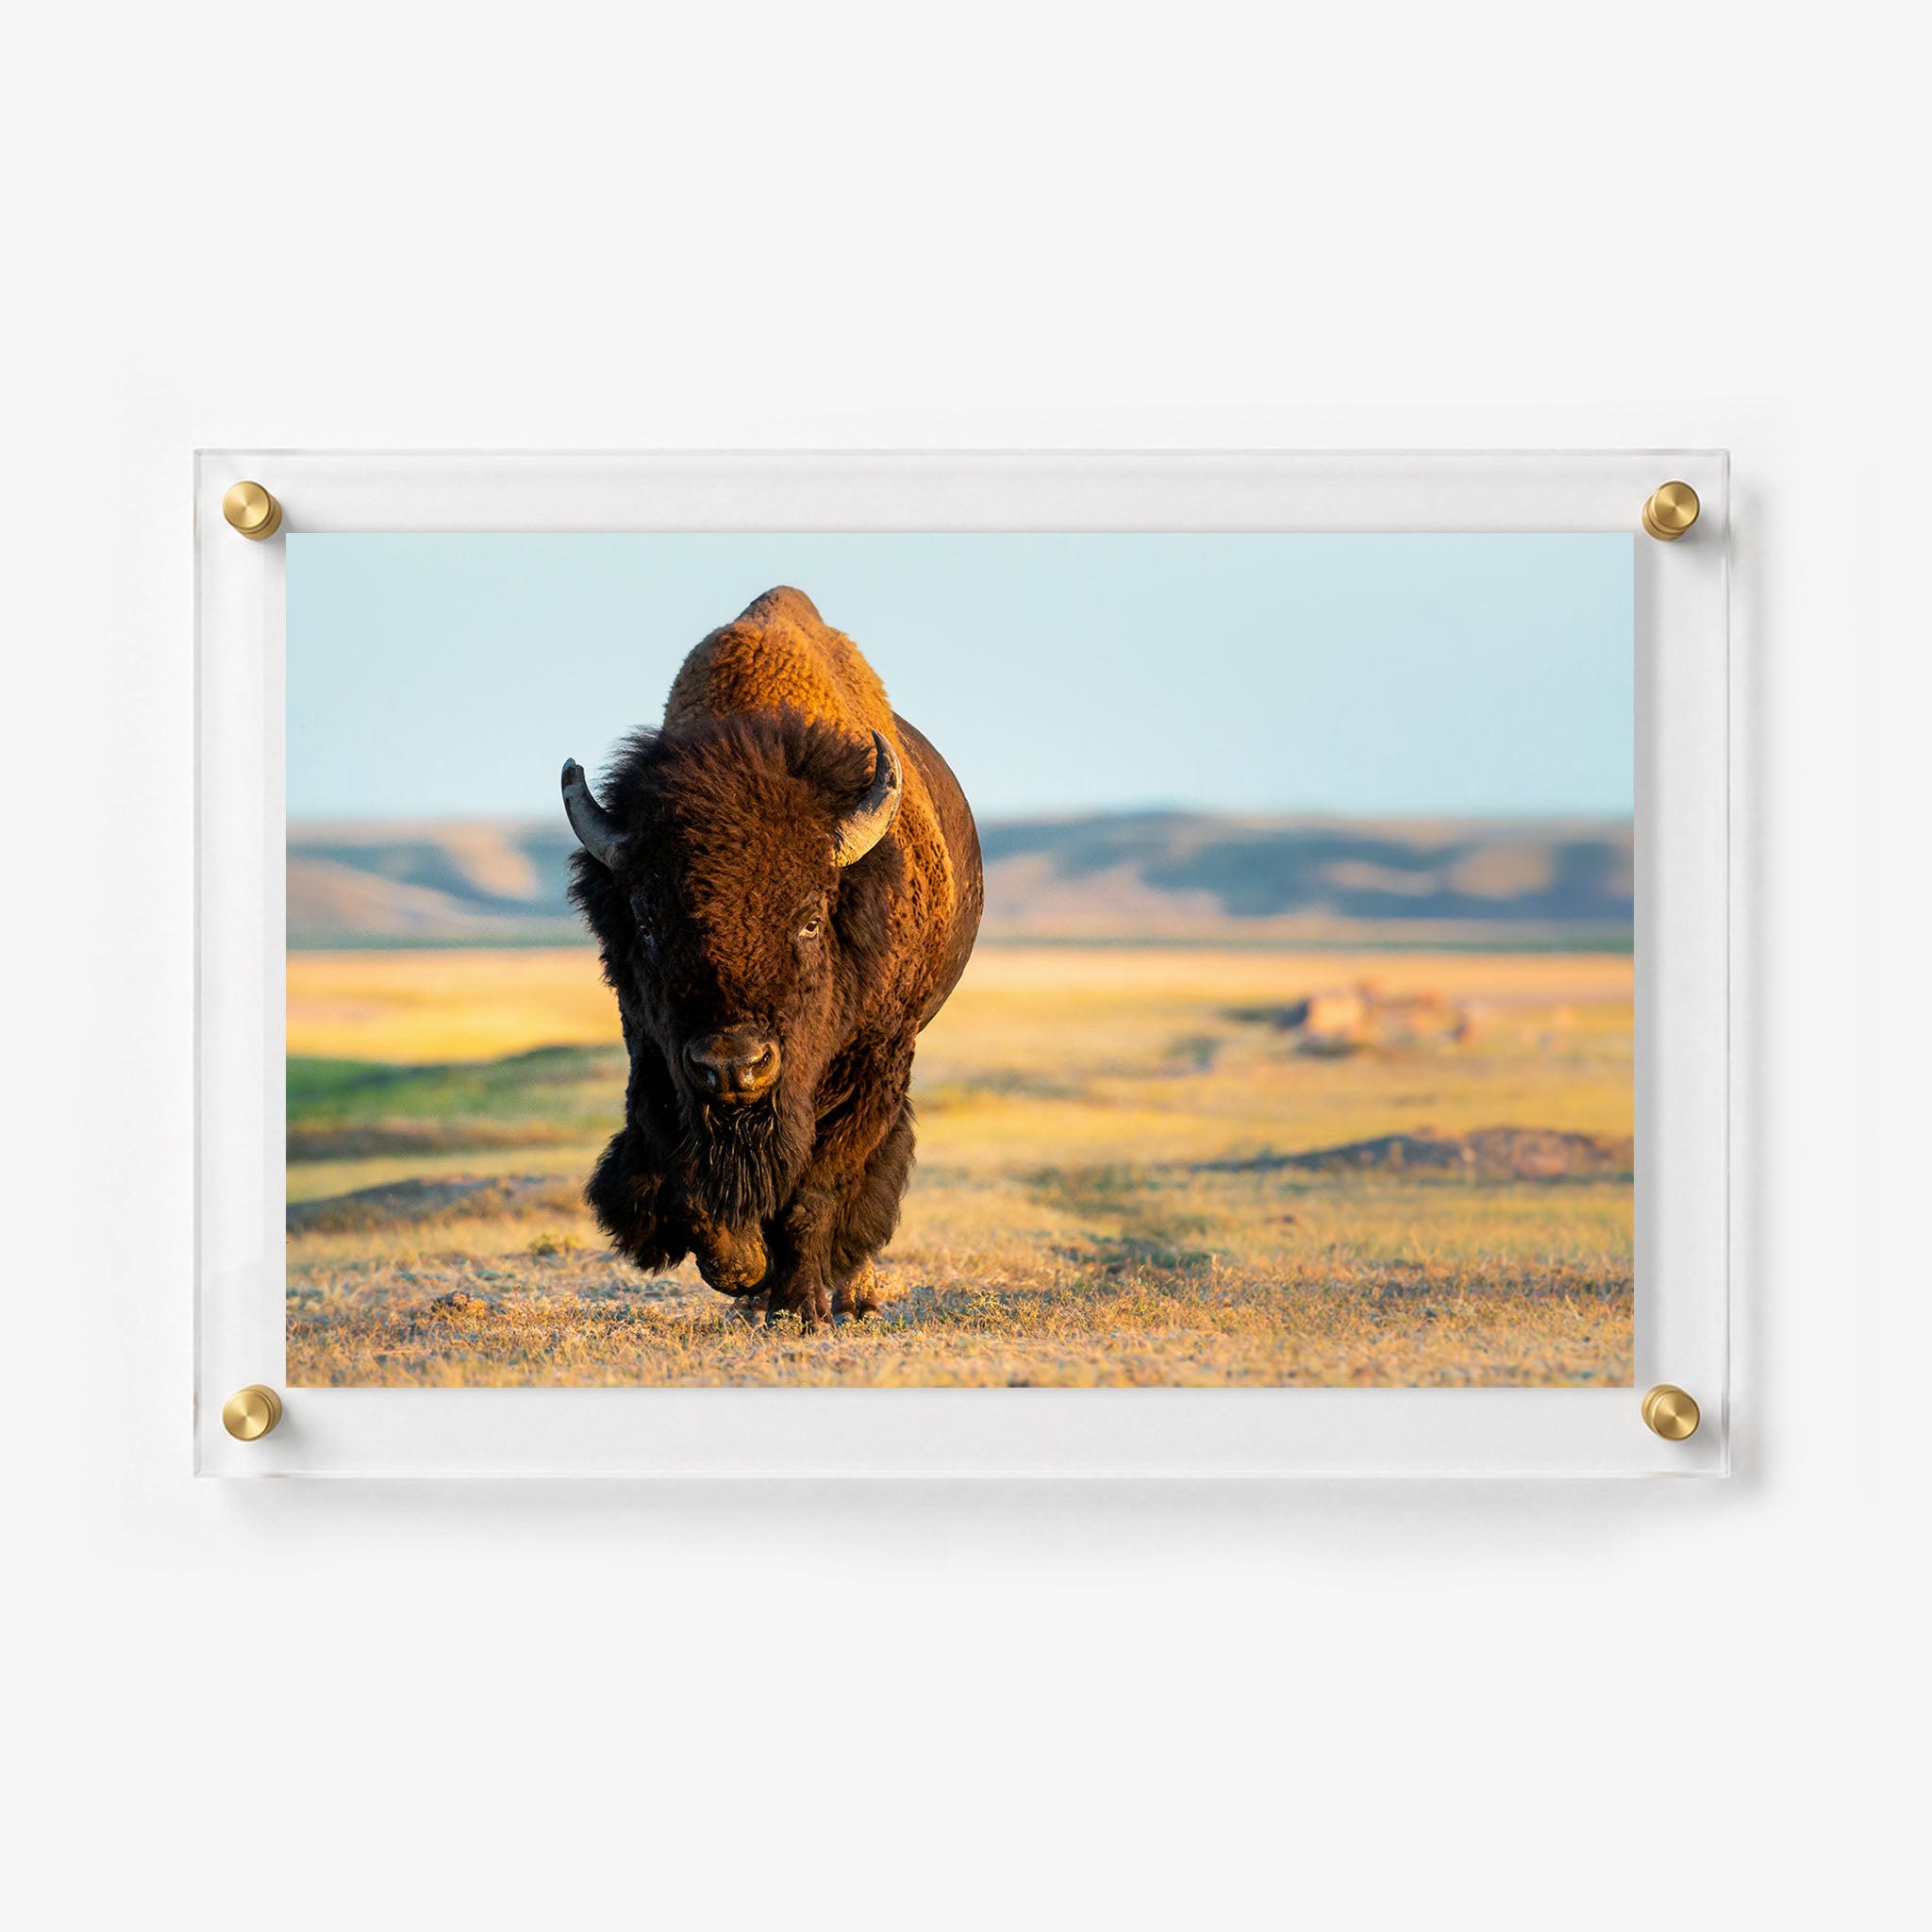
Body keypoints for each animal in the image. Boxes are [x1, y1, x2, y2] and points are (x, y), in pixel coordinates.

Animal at [562, 586, 983, 1325]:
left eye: (811, 919)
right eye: (646, 922)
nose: (735, 1067)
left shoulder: (873, 1066)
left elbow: (817, 1191)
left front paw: (798, 1307)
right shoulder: (654, 1055)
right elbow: (682, 1171)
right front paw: (744, 1271)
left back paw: (852, 1292)